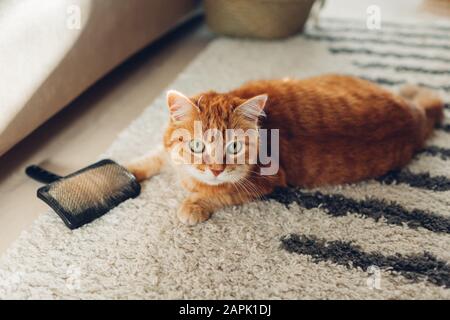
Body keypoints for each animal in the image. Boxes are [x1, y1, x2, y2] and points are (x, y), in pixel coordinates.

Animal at [125, 74, 442, 225]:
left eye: (235, 146)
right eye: (196, 145)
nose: (215, 169)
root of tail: (415, 115)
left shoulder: (266, 181)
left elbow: (219, 194)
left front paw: (193, 204)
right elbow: (156, 156)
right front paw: (127, 170)